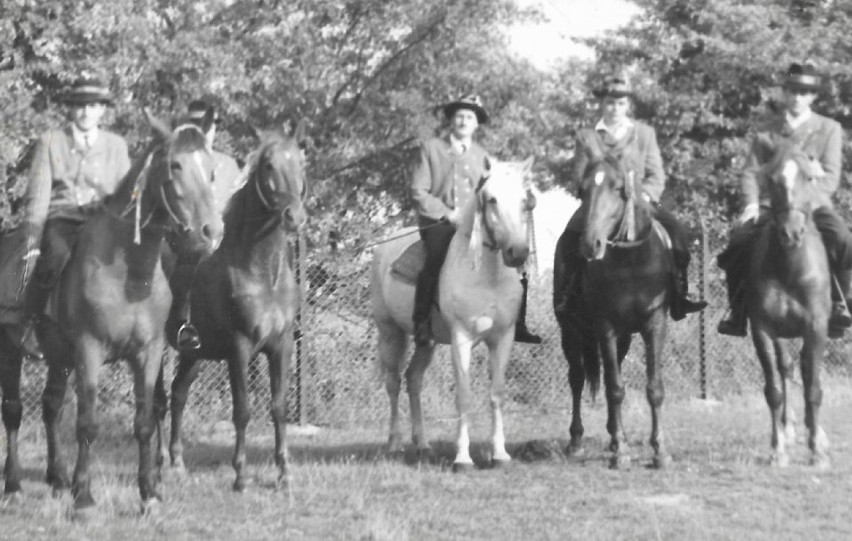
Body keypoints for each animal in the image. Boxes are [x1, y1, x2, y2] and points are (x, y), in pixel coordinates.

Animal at [0, 110, 225, 510]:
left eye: (212, 170)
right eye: (176, 165)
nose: (210, 232)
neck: (130, 275)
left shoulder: (149, 353)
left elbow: (144, 421)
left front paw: (149, 492)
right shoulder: (89, 351)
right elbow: (87, 423)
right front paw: (84, 496)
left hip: (59, 358)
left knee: (50, 406)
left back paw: (57, 478)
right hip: (10, 350)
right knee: (13, 411)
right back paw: (13, 484)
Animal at [372, 156, 532, 468]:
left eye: (524, 200)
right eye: (491, 199)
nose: (517, 253)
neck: (487, 276)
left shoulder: (503, 338)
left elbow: (497, 393)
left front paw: (500, 454)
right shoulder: (462, 338)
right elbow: (464, 396)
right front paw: (462, 458)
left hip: (426, 341)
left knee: (413, 380)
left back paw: (422, 444)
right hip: (389, 332)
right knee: (393, 383)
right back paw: (394, 444)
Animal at [556, 153, 676, 468]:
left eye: (618, 188)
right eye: (583, 190)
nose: (590, 244)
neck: (631, 261)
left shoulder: (654, 325)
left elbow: (653, 388)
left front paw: (660, 450)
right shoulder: (606, 327)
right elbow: (615, 388)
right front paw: (621, 452)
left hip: (623, 338)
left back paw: (612, 435)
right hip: (570, 333)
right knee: (577, 379)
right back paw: (577, 441)